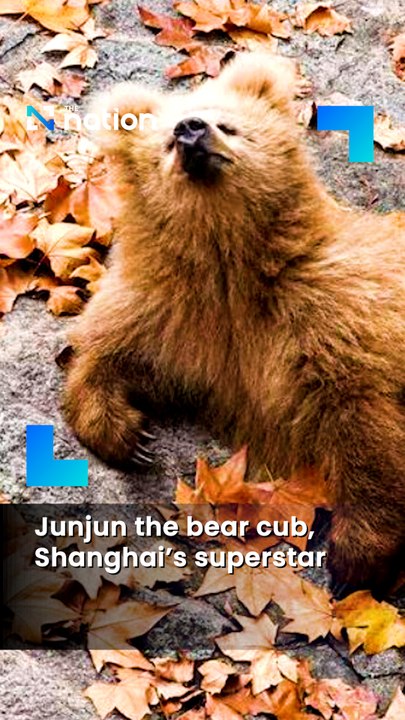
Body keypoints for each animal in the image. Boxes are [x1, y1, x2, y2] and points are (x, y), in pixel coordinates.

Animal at [63, 52, 405, 596]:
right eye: (165, 140)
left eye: (229, 125)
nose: (190, 128)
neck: (229, 265)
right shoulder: (175, 317)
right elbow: (106, 354)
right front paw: (129, 436)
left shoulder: (332, 314)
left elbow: (363, 420)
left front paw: (356, 555)